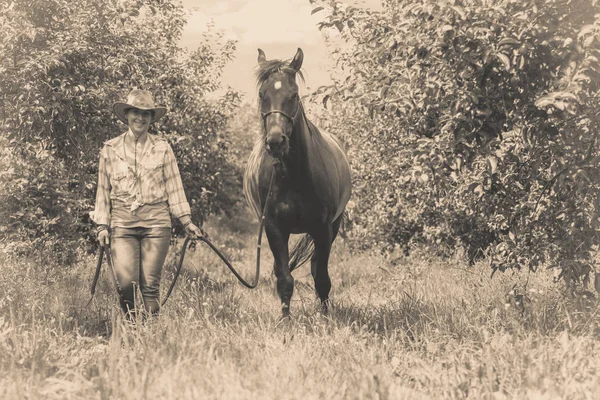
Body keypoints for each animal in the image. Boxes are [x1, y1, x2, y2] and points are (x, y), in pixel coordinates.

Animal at [243, 48, 352, 318]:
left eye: (293, 95)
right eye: (262, 95)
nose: (276, 142)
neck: (293, 176)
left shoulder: (323, 228)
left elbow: (321, 278)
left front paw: (325, 317)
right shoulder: (274, 228)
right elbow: (284, 278)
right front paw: (285, 319)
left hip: (331, 228)